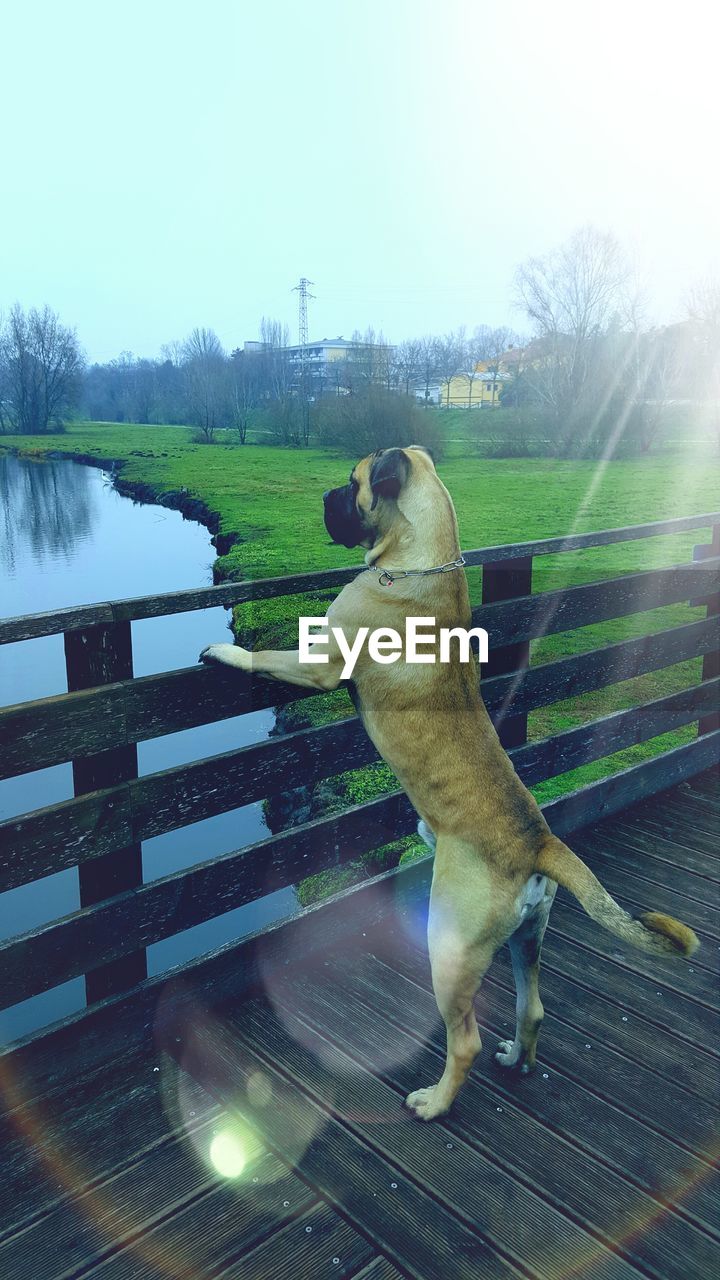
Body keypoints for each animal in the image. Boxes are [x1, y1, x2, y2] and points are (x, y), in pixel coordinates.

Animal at [199, 445, 696, 1116]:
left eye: (352, 483)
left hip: (452, 948)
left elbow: (268, 658)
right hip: (527, 938)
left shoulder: (320, 661)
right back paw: (517, 1059)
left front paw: (228, 654)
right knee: (532, 1009)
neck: (419, 559)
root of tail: (540, 843)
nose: (326, 495)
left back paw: (434, 1102)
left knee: (465, 1040)